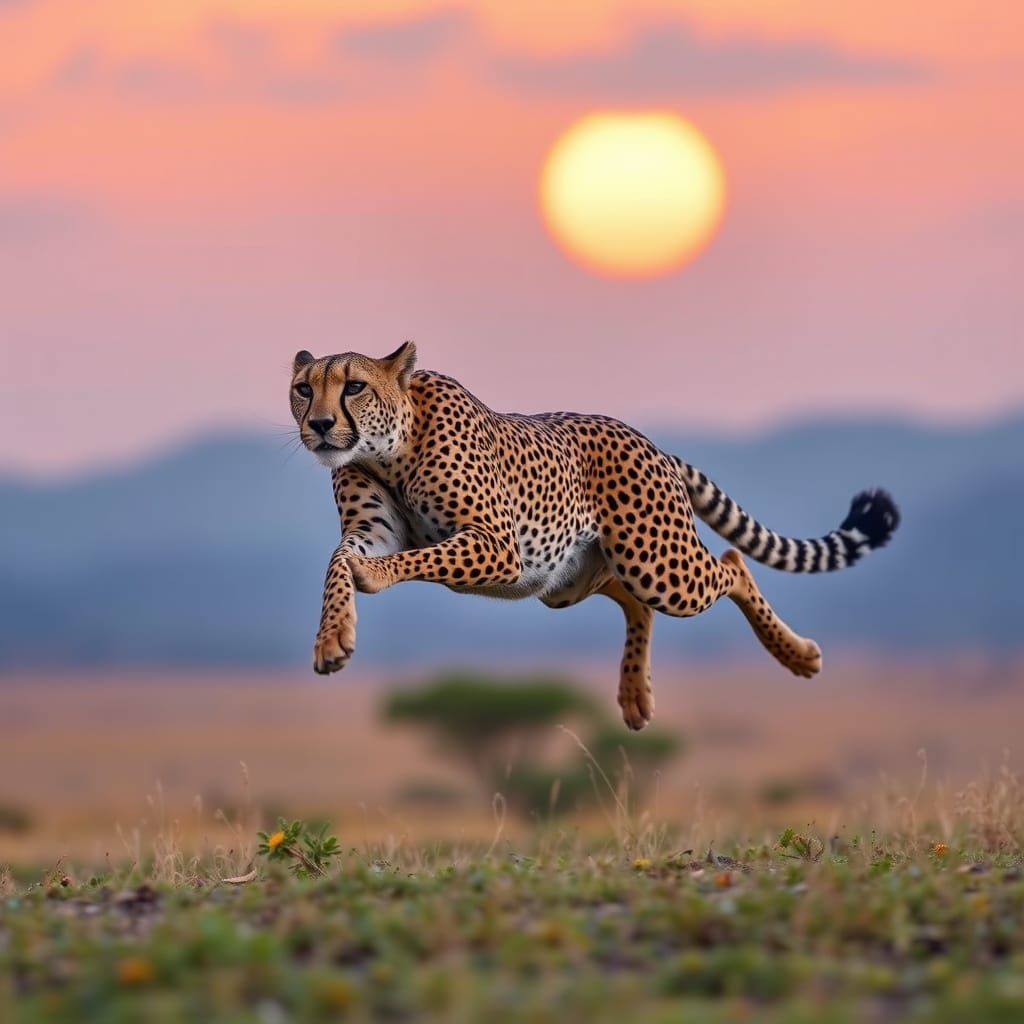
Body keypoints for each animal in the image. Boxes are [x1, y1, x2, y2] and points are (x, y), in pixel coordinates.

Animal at [289, 343, 900, 730]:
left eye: (354, 386)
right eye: (302, 389)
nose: (319, 425)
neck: (390, 448)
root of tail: (648, 441)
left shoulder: (498, 545)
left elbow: (410, 558)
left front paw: (368, 581)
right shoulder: (375, 531)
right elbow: (336, 563)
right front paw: (332, 638)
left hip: (658, 563)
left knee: (731, 563)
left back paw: (795, 655)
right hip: (569, 579)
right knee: (636, 601)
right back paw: (633, 694)